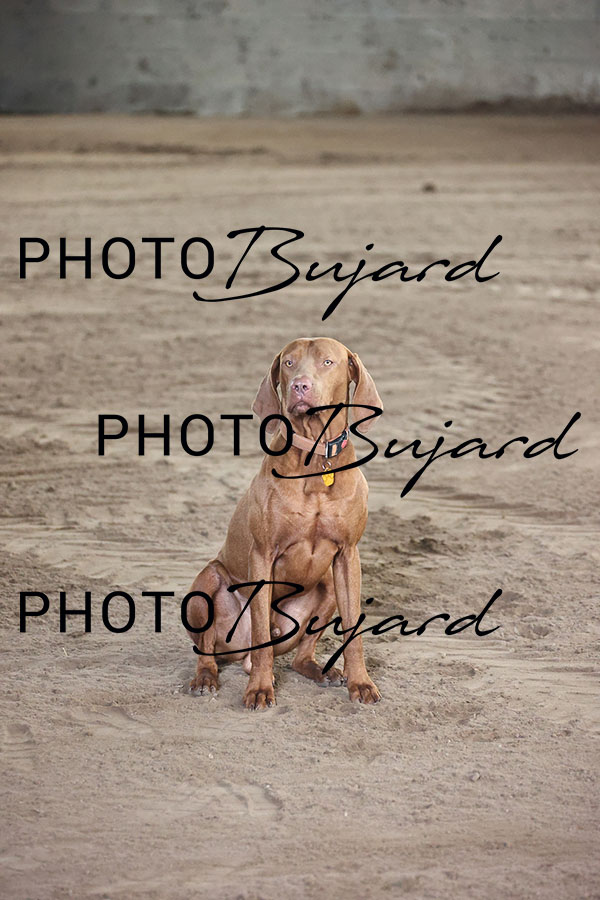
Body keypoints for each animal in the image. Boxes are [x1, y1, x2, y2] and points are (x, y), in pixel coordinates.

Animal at [186, 337, 383, 708]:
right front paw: (260, 689)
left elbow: (353, 631)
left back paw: (320, 671)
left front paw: (361, 683)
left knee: (299, 656)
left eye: (327, 362)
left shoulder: (348, 556)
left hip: (327, 585)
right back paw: (205, 678)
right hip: (208, 582)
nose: (300, 386)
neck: (317, 461)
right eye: (289, 363)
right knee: (208, 648)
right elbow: (262, 632)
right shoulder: (263, 555)